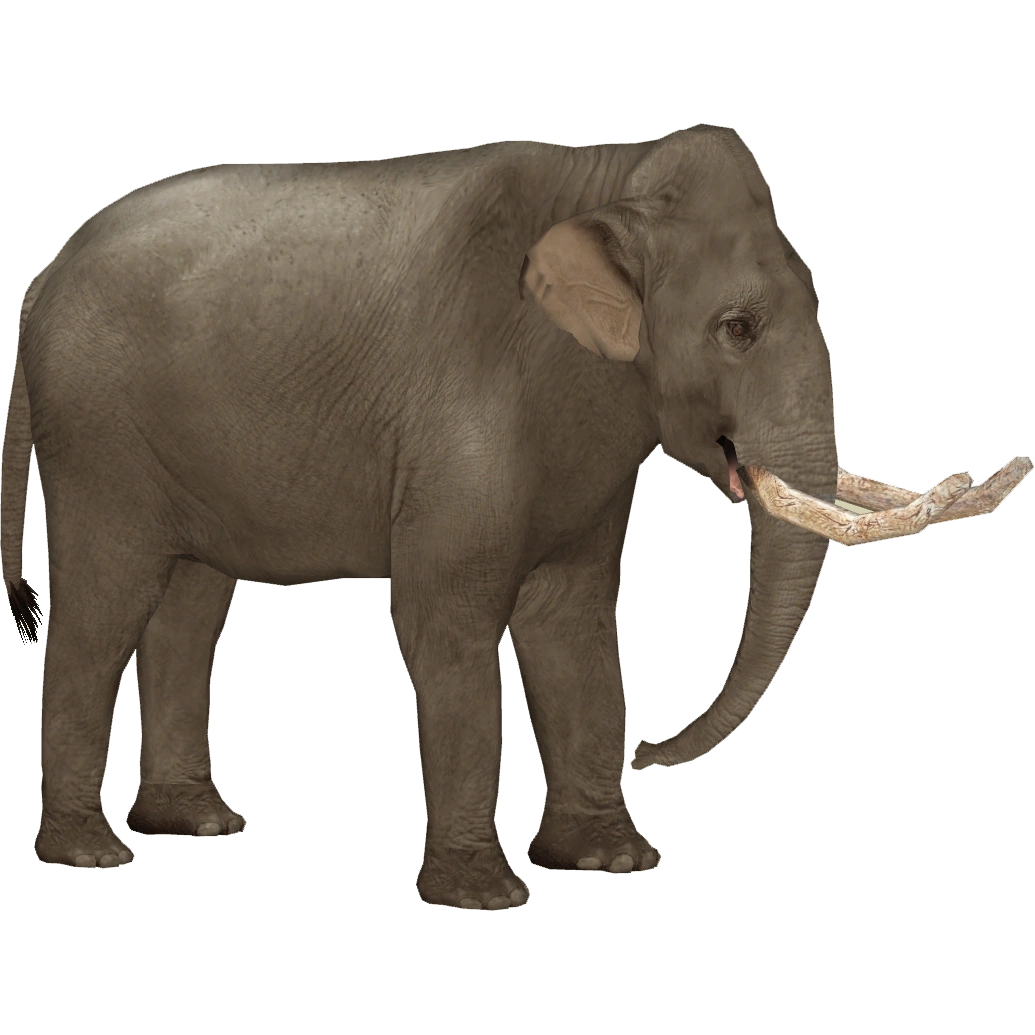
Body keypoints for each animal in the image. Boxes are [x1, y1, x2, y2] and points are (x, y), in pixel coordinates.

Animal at [2, 124, 1030, 910]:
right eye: (736, 328)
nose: (649, 747)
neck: (614, 175)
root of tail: (39, 280)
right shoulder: (463, 401)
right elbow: (443, 614)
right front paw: (486, 896)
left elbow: (571, 616)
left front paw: (613, 861)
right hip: (97, 439)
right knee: (105, 606)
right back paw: (91, 853)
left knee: (189, 604)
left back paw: (200, 826)